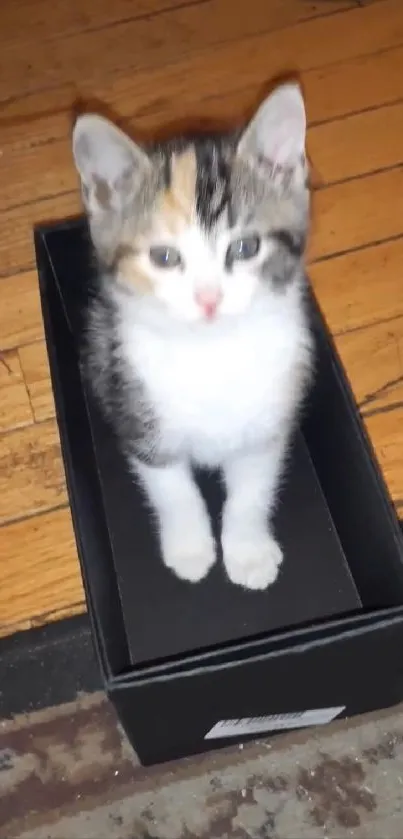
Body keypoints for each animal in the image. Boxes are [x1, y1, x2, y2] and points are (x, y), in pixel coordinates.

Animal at [72, 80, 314, 592]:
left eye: (246, 248)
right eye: (164, 257)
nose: (208, 299)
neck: (210, 353)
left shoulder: (269, 421)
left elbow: (252, 490)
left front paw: (246, 550)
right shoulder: (138, 415)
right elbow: (172, 489)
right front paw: (189, 548)